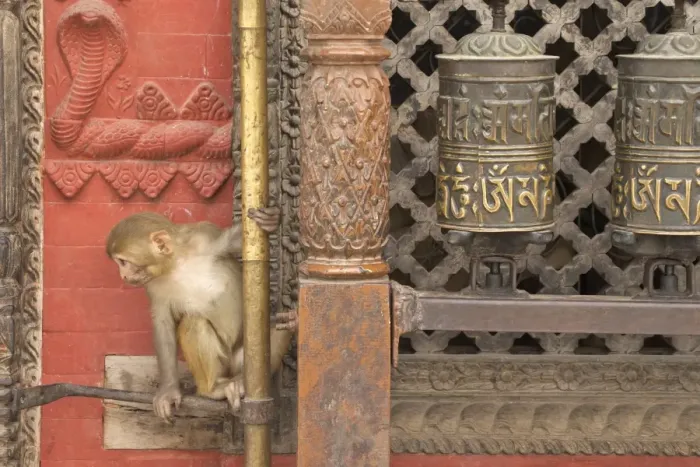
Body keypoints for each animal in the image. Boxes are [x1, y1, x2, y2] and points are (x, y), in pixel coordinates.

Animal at [105, 208, 294, 422]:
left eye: (123, 262)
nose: (123, 275)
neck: (176, 263)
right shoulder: (153, 286)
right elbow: (163, 324)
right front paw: (168, 390)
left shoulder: (204, 236)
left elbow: (234, 241)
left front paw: (271, 221)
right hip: (223, 364)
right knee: (195, 322)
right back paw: (214, 389)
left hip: (241, 358)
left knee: (277, 323)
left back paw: (245, 382)